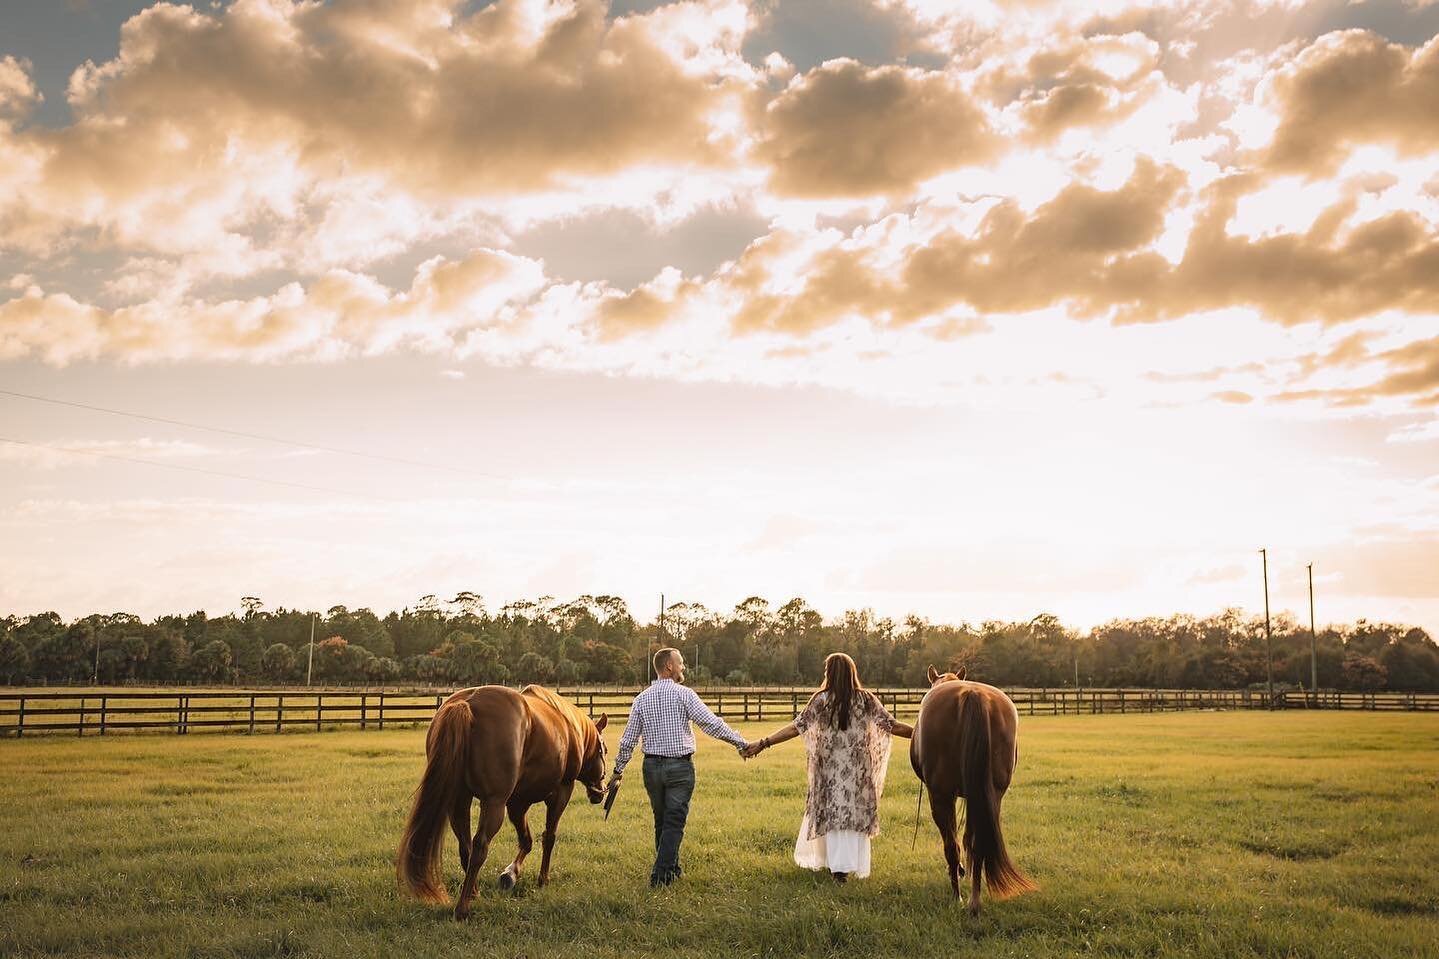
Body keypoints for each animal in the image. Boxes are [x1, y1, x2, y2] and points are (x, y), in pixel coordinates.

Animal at [397, 679, 610, 921]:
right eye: (604, 750)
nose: (600, 791)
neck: (569, 728)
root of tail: (467, 704)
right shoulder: (561, 792)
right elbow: (549, 837)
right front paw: (542, 879)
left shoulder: (517, 803)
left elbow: (526, 840)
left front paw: (510, 874)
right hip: (493, 804)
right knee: (480, 846)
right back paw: (462, 908)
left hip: (460, 801)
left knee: (465, 846)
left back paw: (473, 892)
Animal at [909, 665, 1036, 910]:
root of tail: (973, 695)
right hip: (993, 794)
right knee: (978, 843)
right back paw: (974, 901)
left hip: (941, 794)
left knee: (951, 845)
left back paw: (957, 896)